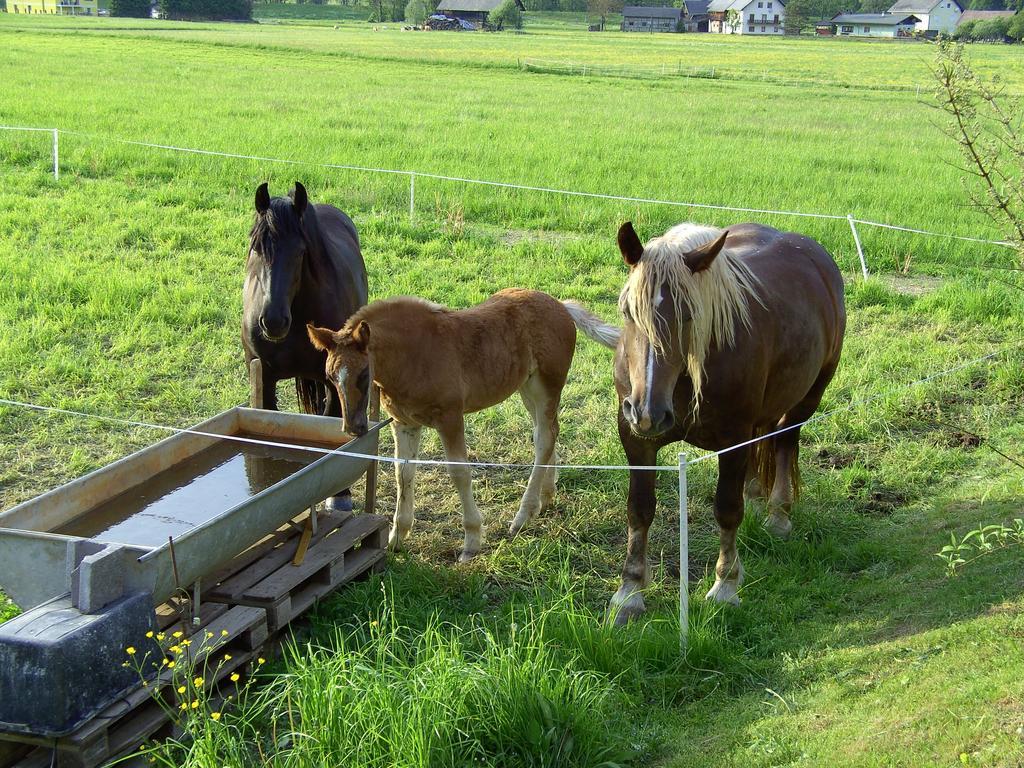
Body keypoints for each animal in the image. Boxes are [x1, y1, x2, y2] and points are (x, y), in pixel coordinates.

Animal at [241, 182, 370, 505]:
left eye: (300, 252)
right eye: (257, 247)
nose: (273, 321)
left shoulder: (335, 379)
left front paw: (339, 495)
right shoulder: (263, 377)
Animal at [610, 219, 843, 622]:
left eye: (689, 314)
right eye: (628, 311)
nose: (648, 412)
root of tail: (813, 253)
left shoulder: (733, 440)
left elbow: (726, 509)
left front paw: (725, 586)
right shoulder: (637, 440)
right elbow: (639, 510)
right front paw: (630, 592)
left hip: (808, 398)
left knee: (785, 442)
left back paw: (778, 514)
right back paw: (756, 496)